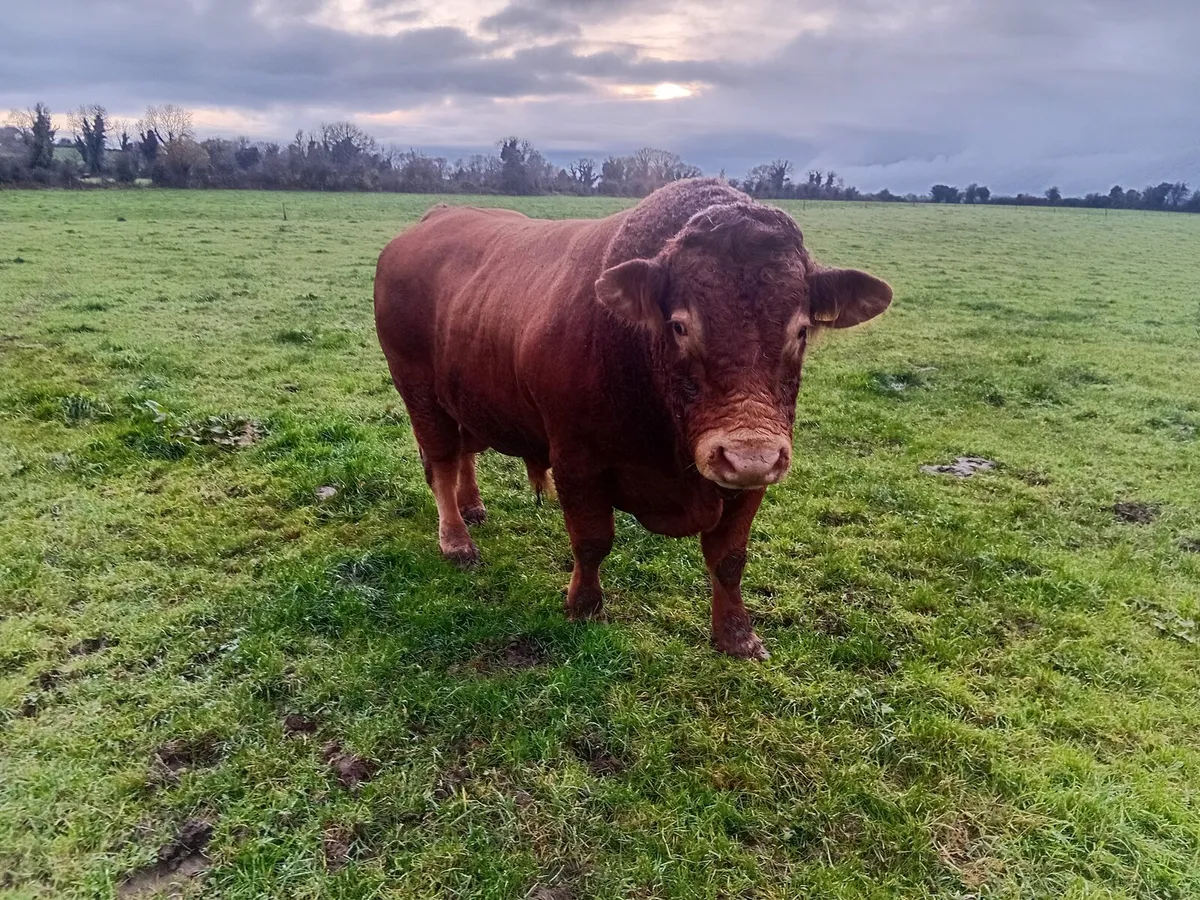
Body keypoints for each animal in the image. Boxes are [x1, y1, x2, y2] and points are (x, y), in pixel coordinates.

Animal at [374, 178, 892, 659]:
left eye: (801, 330)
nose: (747, 455)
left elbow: (729, 558)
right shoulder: (577, 462)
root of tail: (435, 218)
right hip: (419, 392)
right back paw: (456, 541)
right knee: (441, 463)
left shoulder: (754, 478)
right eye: (680, 325)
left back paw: (473, 507)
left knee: (464, 453)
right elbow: (592, 540)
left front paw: (737, 637)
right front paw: (584, 608)